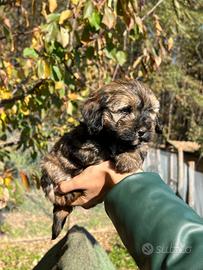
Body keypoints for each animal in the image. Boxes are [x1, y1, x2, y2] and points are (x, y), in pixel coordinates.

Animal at [40, 79, 162, 239]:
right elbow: (99, 148)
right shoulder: (81, 144)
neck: (112, 135)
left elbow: (139, 147)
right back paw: (70, 191)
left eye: (150, 111)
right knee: (54, 192)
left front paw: (129, 157)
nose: (142, 131)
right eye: (125, 110)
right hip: (48, 166)